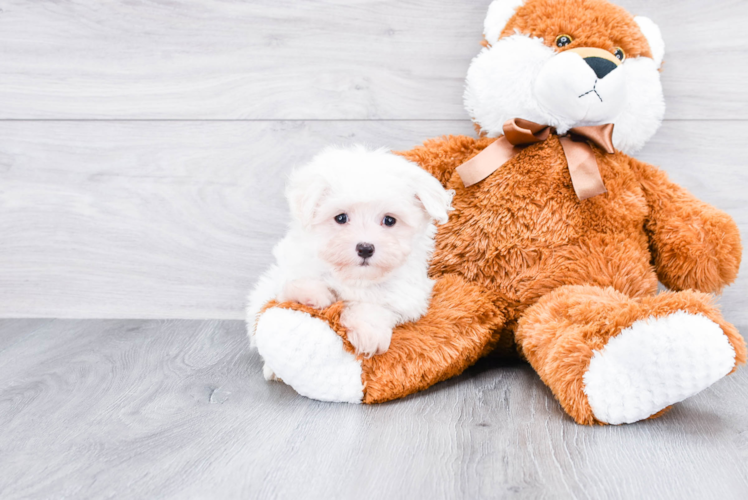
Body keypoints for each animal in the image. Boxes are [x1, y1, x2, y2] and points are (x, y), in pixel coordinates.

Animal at [248, 145, 452, 376]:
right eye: (341, 218)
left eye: (389, 220)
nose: (365, 248)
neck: (354, 277)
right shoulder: (280, 277)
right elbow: (290, 285)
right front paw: (310, 295)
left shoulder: (406, 298)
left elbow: (376, 307)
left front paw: (368, 332)